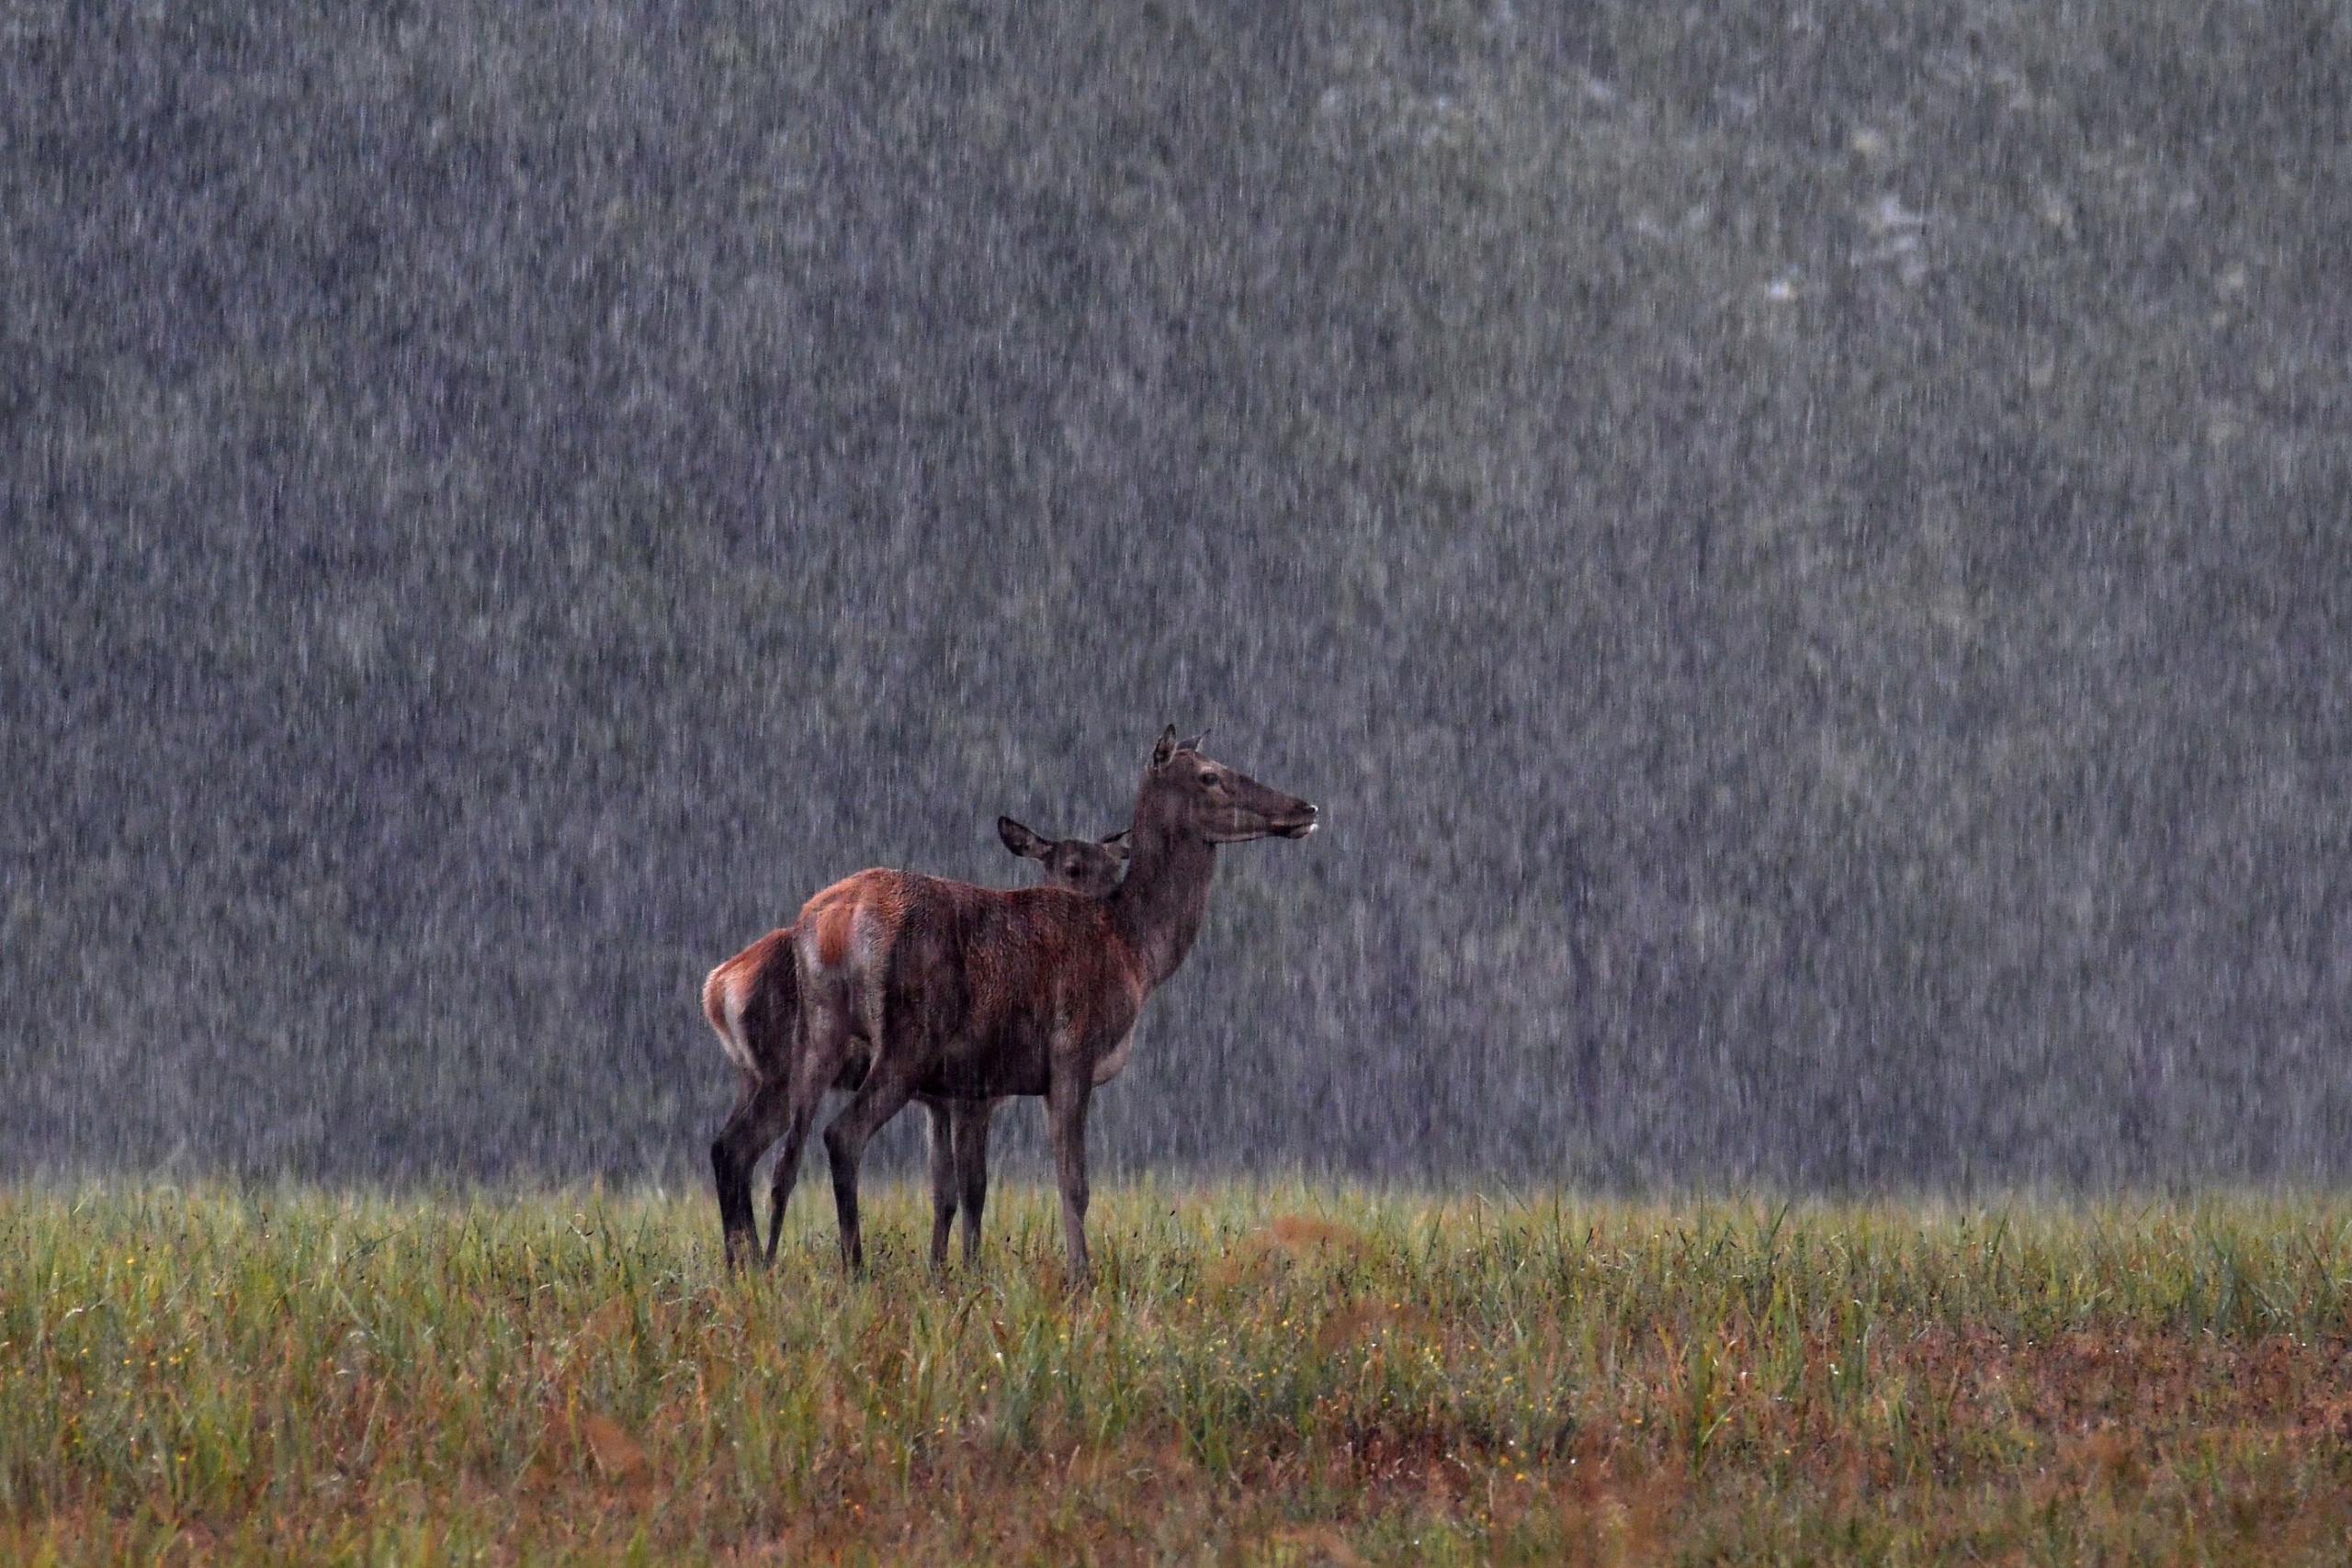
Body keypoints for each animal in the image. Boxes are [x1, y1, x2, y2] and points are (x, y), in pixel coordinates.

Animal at [700, 818, 1133, 1269]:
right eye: (1071, 869)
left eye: (1116, 868)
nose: (1111, 928)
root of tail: (717, 986)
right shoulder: (971, 1096)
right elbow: (973, 1187)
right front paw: (966, 1268)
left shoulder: (938, 1102)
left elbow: (945, 1193)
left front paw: (939, 1268)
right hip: (785, 1072)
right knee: (742, 1148)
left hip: (752, 1076)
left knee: (729, 1148)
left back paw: (740, 1264)